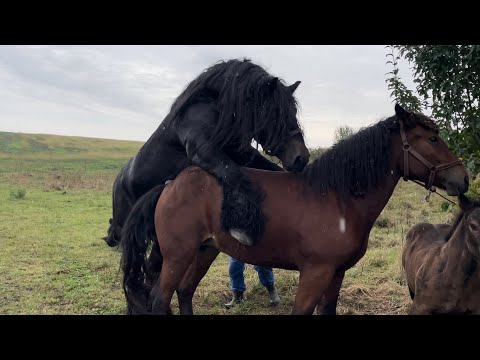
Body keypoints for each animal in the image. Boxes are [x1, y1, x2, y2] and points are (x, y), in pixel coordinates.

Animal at [120, 104, 468, 316]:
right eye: (432, 139)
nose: (463, 178)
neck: (337, 198)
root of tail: (169, 185)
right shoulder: (315, 273)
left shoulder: (336, 273)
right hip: (178, 256)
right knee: (160, 298)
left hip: (205, 250)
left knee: (185, 291)